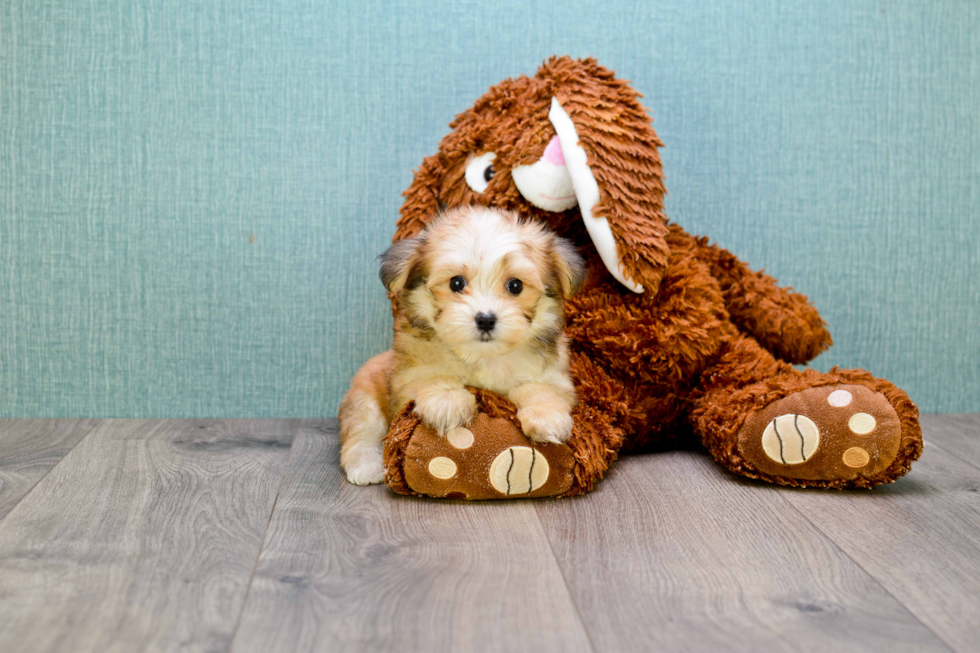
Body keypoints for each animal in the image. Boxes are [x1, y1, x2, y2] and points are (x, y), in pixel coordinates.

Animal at [338, 205, 580, 484]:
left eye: (515, 285)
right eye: (456, 283)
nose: (485, 319)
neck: (482, 357)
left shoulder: (554, 374)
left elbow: (542, 388)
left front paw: (546, 416)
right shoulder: (407, 373)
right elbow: (429, 376)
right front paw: (447, 401)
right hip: (364, 397)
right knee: (362, 431)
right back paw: (366, 465)